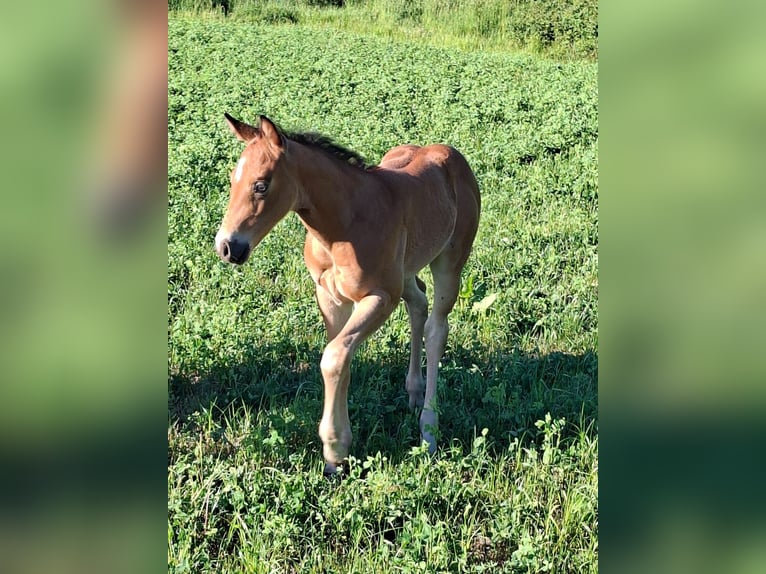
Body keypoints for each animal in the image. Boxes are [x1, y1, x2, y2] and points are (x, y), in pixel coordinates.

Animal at [215, 114, 480, 474]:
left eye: (261, 185)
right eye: (232, 180)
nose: (228, 247)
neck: (344, 225)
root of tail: (451, 154)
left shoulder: (381, 296)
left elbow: (334, 357)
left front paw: (335, 446)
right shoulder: (329, 296)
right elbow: (340, 359)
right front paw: (334, 458)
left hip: (449, 262)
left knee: (436, 328)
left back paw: (428, 432)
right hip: (405, 270)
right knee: (418, 302)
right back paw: (413, 391)